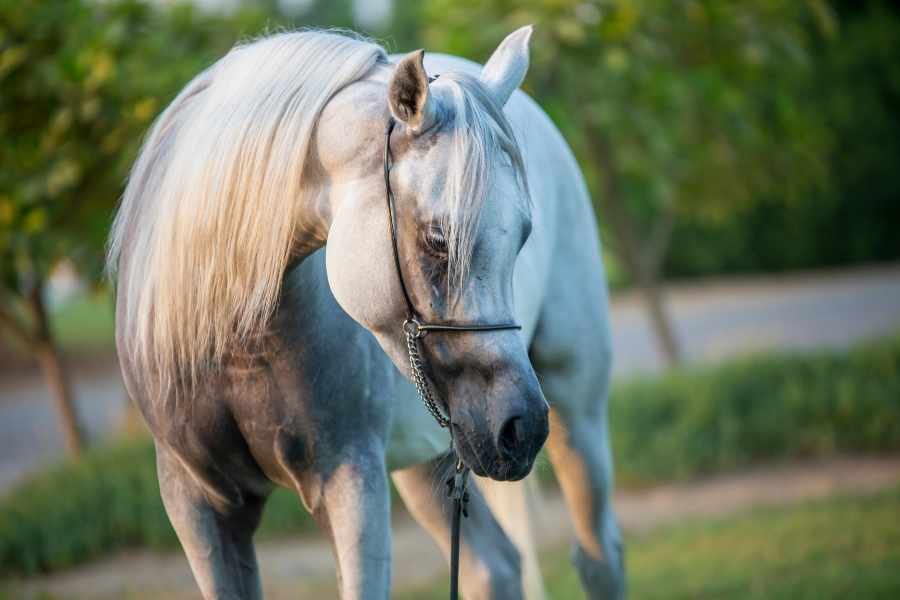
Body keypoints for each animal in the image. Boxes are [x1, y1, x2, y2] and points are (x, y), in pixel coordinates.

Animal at [108, 27, 624, 599]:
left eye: (525, 236)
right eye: (437, 239)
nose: (522, 427)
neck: (230, 342)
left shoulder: (351, 483)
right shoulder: (197, 505)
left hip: (575, 410)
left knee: (598, 556)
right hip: (433, 454)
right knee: (496, 566)